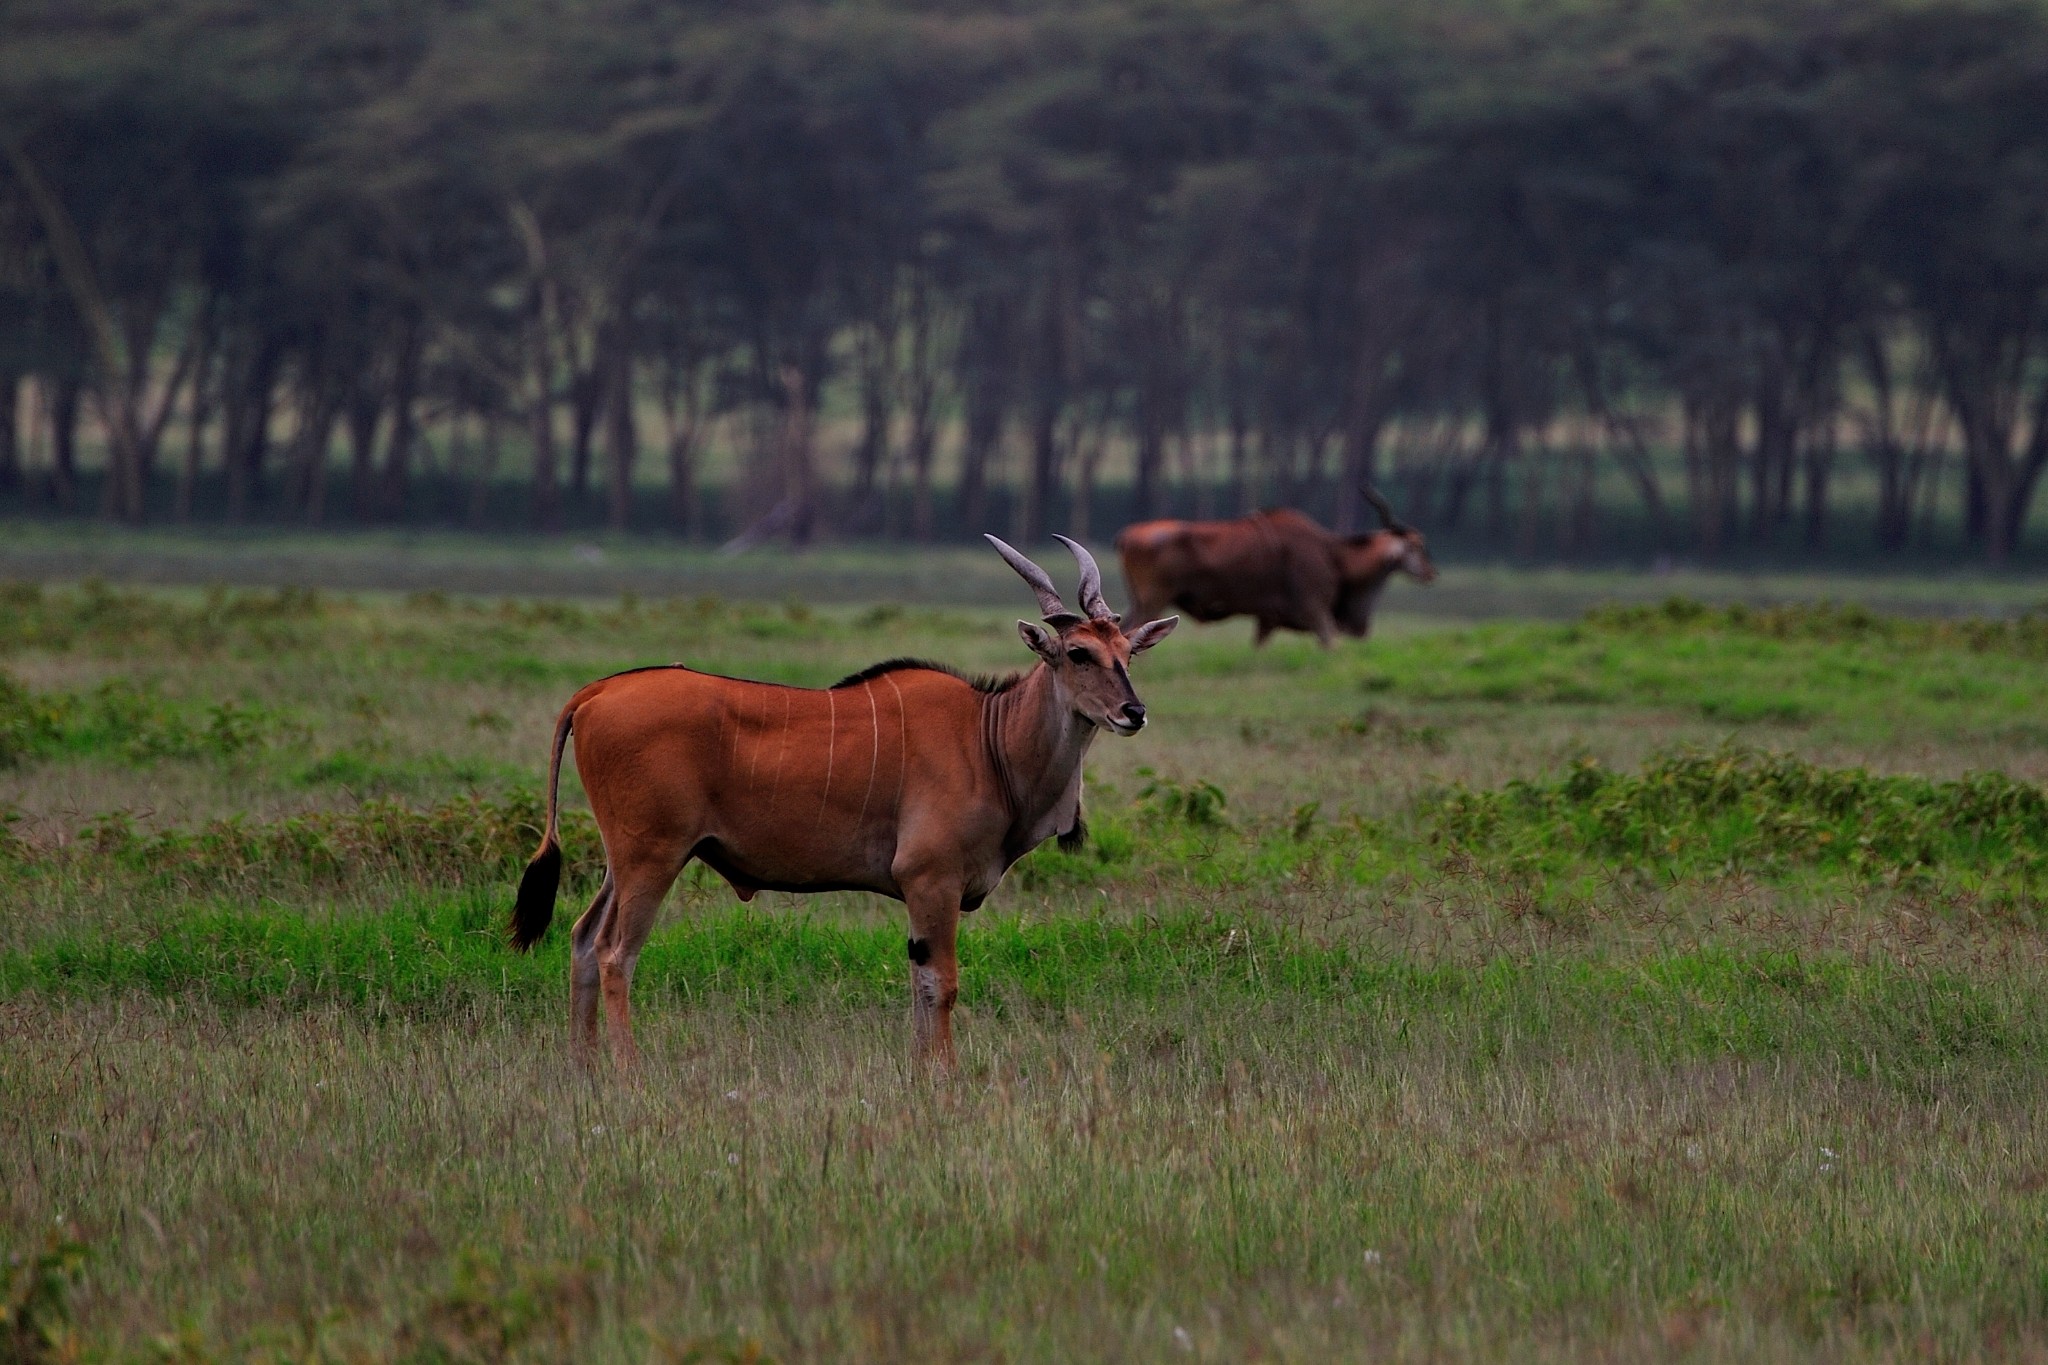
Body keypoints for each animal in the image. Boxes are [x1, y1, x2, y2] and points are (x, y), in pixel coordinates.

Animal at [512, 532, 1179, 1064]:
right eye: (1078, 653)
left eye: (1127, 654)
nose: (1135, 712)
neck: (990, 739)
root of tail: (596, 693)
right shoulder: (930, 881)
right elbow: (943, 986)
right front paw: (943, 1081)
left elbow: (919, 985)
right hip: (651, 857)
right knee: (613, 953)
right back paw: (628, 1074)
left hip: (621, 861)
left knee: (580, 939)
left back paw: (584, 1070)